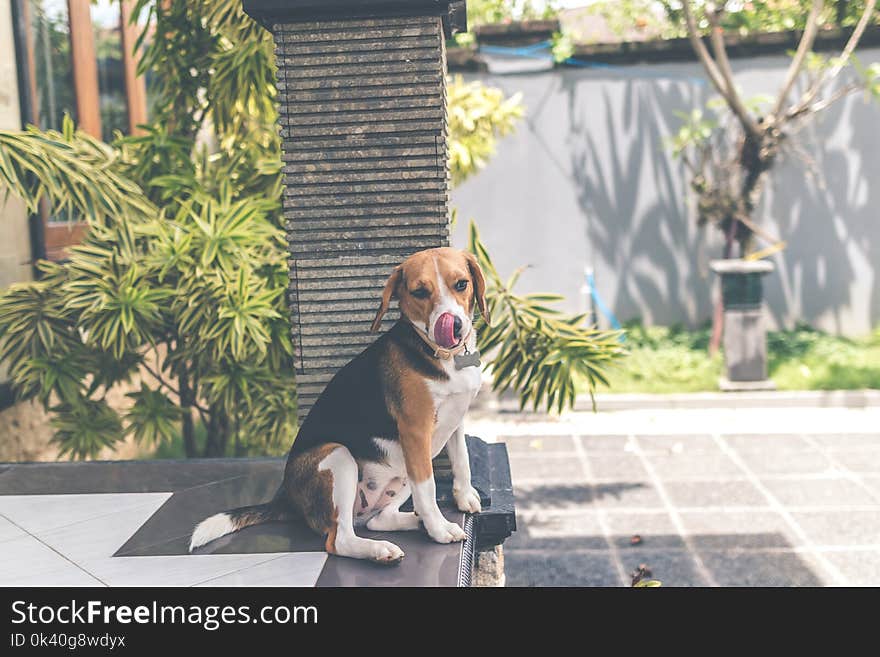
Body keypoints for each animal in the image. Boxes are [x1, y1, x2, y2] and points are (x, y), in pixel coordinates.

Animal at [191, 246, 488, 564]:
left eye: (461, 284)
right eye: (419, 292)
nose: (453, 324)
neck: (441, 354)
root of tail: (287, 499)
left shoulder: (455, 420)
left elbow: (462, 460)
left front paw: (463, 497)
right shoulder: (415, 431)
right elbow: (429, 488)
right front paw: (439, 529)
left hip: (399, 470)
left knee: (378, 520)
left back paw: (411, 522)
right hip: (339, 457)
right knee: (340, 540)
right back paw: (380, 549)